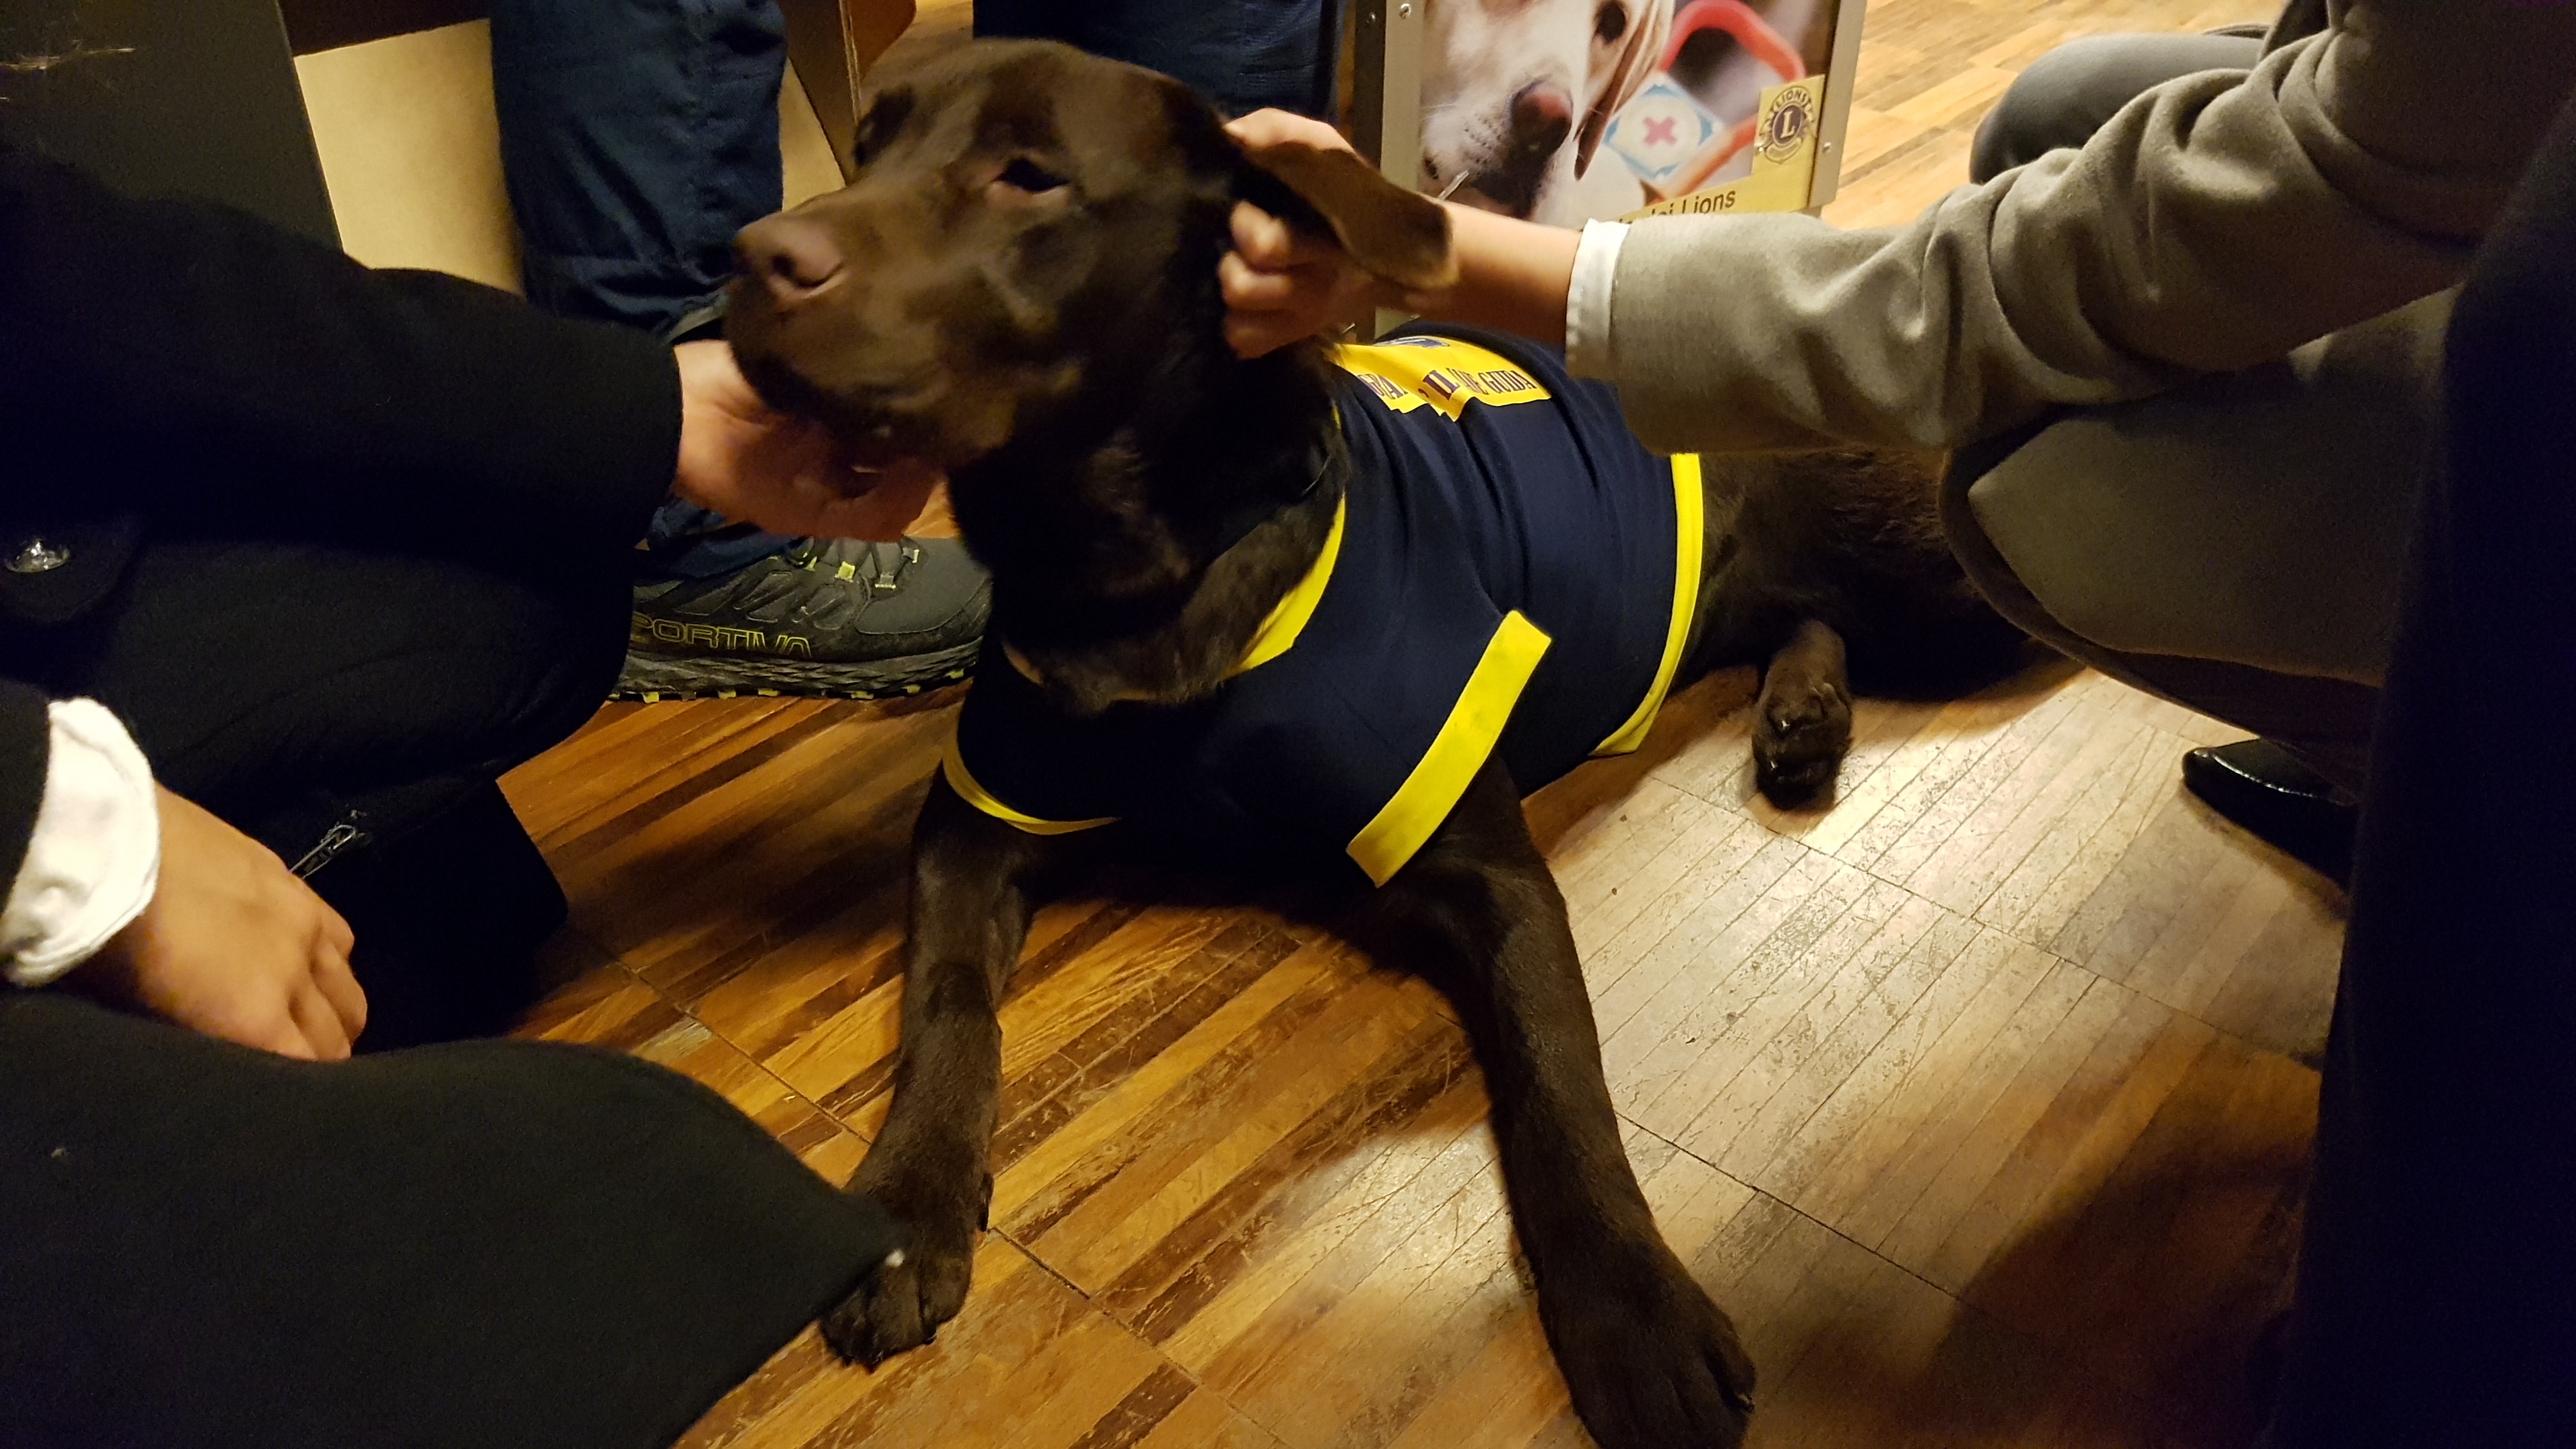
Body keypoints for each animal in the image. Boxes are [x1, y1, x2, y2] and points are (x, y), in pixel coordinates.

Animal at [726, 40, 2022, 1449]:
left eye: (1029, 176)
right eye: (867, 143)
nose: (753, 256)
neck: (1141, 575)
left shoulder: (1491, 871)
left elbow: (1561, 1089)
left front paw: (1635, 1311)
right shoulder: (978, 819)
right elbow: (946, 1006)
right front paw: (905, 1205)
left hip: (1944, 564)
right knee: (1805, 611)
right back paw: (1803, 719)